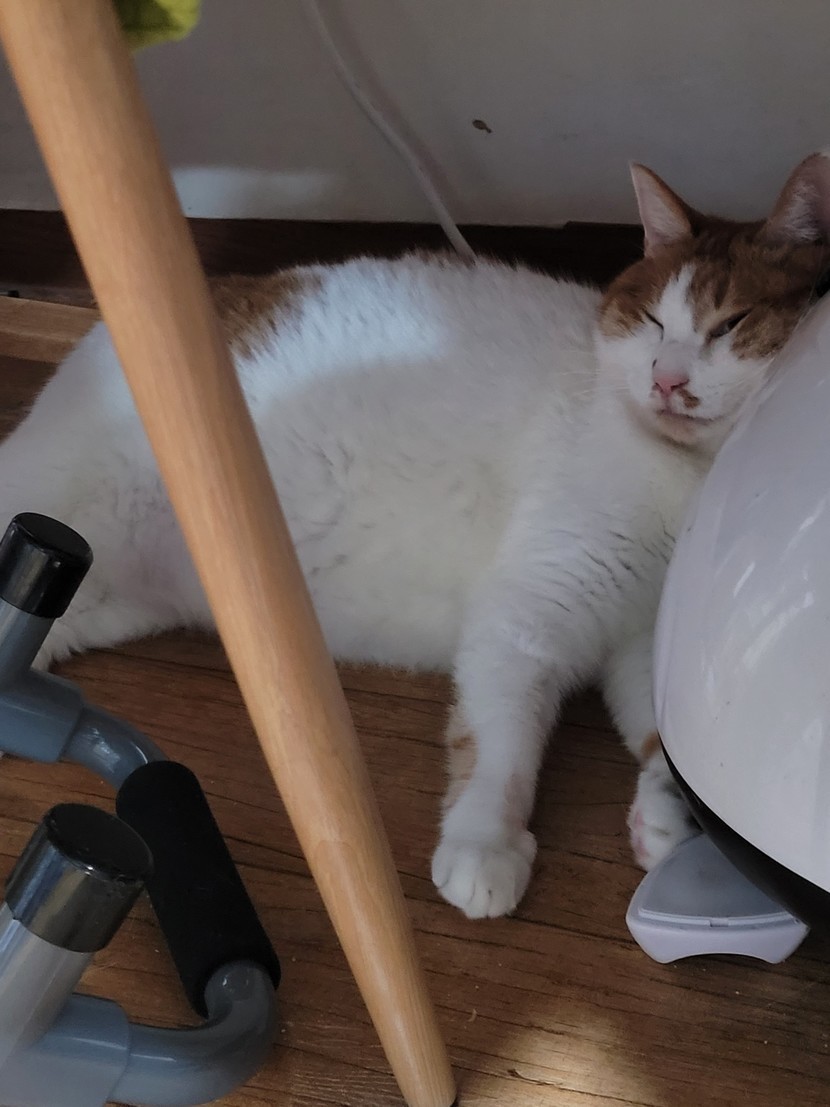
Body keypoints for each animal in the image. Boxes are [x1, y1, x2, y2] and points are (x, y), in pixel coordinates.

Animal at [3, 153, 829, 920]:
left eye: (730, 327)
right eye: (656, 322)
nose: (666, 380)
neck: (685, 480)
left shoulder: (641, 643)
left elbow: (668, 737)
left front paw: (669, 814)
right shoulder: (537, 603)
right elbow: (500, 739)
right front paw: (486, 840)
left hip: (104, 603)